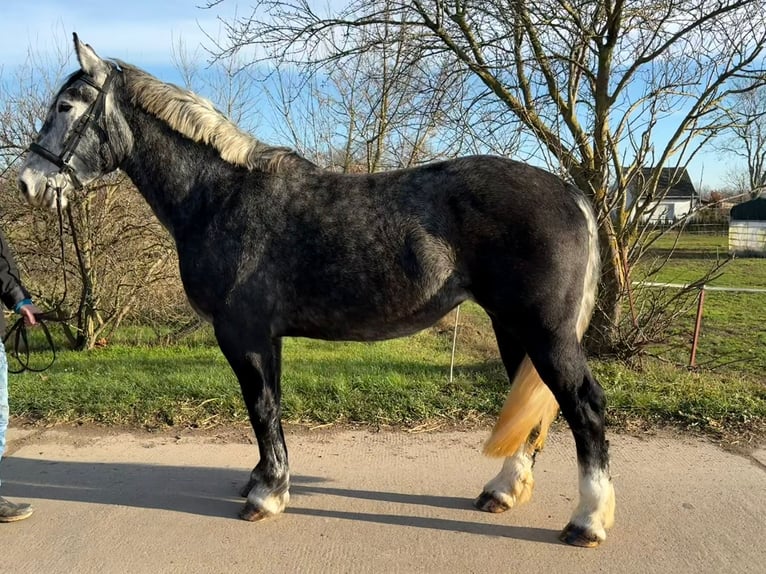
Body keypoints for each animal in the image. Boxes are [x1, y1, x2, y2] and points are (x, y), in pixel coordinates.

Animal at [18, 35, 616, 548]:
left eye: (67, 106)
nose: (27, 182)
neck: (221, 197)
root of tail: (570, 194)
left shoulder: (244, 334)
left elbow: (261, 407)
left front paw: (267, 495)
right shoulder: (265, 337)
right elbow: (270, 406)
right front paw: (264, 478)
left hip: (545, 332)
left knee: (584, 407)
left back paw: (587, 521)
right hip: (511, 327)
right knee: (534, 408)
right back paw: (502, 492)